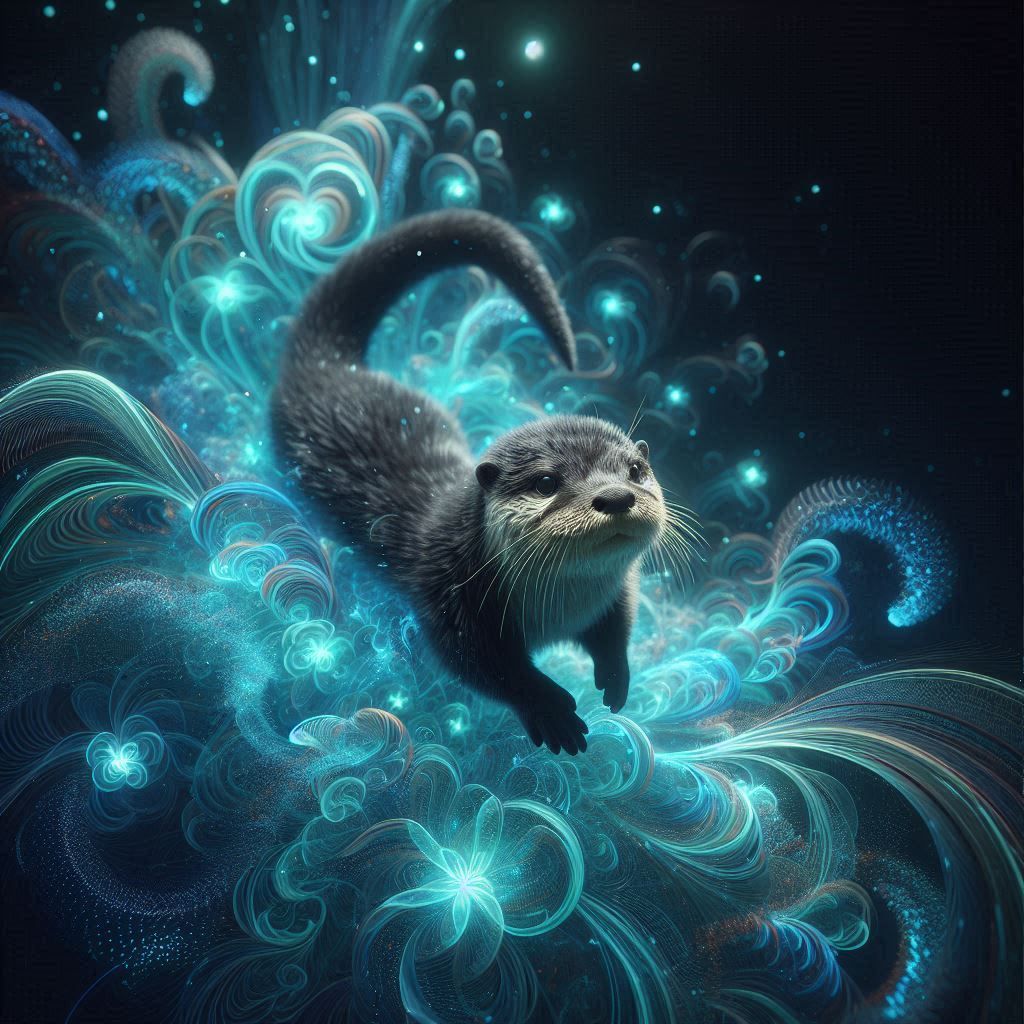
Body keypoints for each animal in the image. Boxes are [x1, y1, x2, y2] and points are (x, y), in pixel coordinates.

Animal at [272, 210, 668, 754]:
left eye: (634, 470)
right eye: (547, 481)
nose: (615, 496)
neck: (563, 609)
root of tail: (325, 368)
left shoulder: (612, 595)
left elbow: (617, 626)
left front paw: (615, 676)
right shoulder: (448, 594)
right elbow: (484, 667)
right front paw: (551, 709)